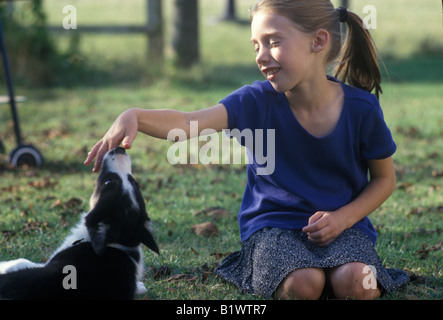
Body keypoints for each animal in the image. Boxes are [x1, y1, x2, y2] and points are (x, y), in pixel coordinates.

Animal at [0, 148, 160, 300]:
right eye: (135, 183)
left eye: (108, 182)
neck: (115, 242)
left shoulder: (44, 264)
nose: (120, 148)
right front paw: (140, 286)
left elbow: (20, 261)